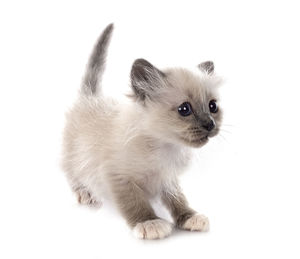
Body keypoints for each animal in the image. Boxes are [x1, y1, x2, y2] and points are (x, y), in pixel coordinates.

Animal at [62, 23, 223, 241]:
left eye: (212, 106)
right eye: (184, 109)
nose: (210, 124)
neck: (166, 145)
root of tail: (91, 97)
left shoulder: (168, 178)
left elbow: (178, 199)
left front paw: (190, 217)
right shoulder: (117, 176)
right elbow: (134, 202)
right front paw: (149, 222)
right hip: (74, 155)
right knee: (71, 171)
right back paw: (85, 193)